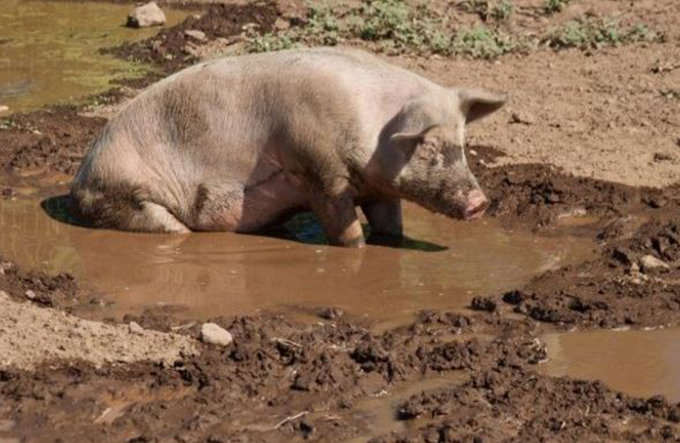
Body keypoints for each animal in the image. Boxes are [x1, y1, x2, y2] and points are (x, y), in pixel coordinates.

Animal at [71, 47, 506, 247]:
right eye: (427, 145)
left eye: (463, 143)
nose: (479, 202)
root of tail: (79, 179)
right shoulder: (318, 168)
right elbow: (344, 226)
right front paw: (357, 247)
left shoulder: (380, 189)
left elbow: (392, 227)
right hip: (127, 197)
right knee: (168, 227)